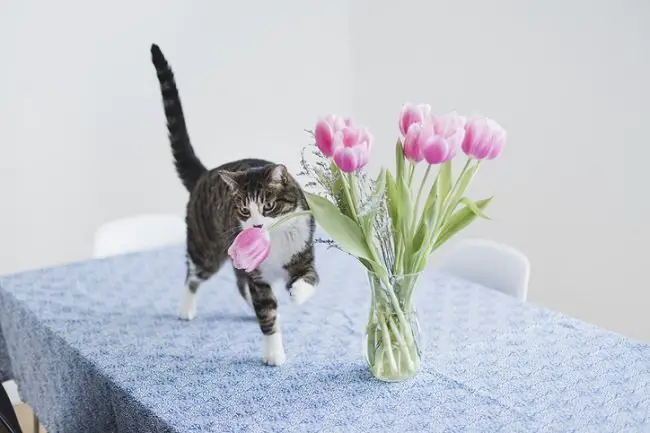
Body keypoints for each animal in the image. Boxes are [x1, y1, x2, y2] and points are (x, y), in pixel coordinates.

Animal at [149, 44, 316, 364]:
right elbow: (267, 312)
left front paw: (297, 294)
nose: (256, 225)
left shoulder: (303, 251)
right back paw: (186, 308)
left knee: (239, 283)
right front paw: (273, 353)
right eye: (244, 209)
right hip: (205, 250)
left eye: (268, 207)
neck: (274, 243)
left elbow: (309, 279)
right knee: (193, 275)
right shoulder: (259, 276)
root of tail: (205, 174)